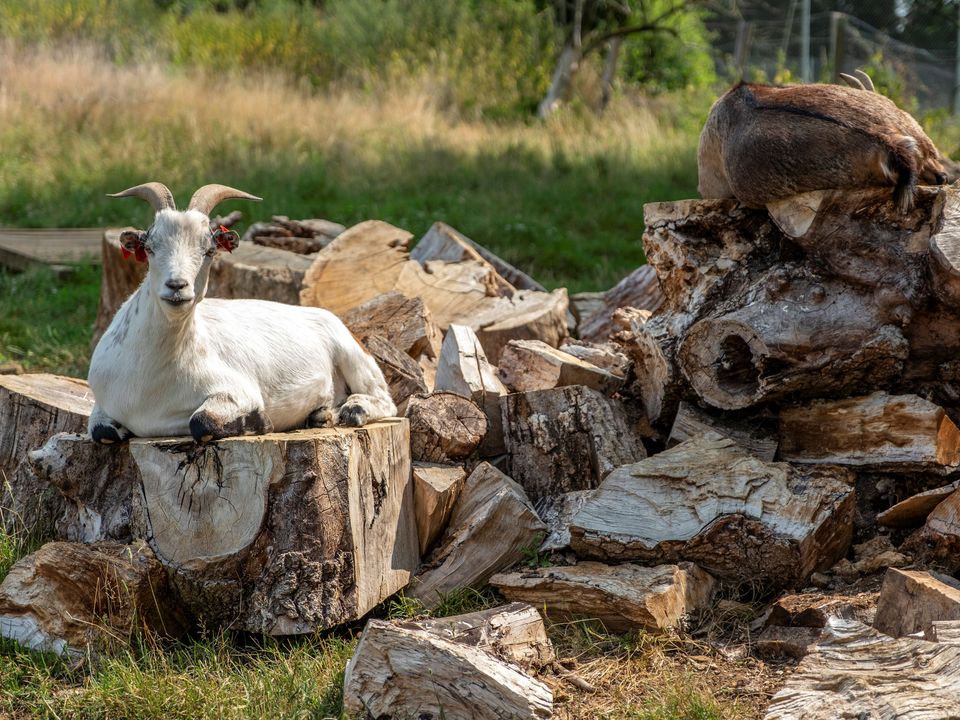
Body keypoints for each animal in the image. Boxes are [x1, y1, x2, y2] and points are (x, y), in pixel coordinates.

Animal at [86, 183, 394, 444]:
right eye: (149, 248)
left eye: (209, 250)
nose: (177, 286)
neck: (150, 376)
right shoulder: (101, 405)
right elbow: (102, 432)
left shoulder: (237, 390)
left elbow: (202, 422)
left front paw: (261, 422)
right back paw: (321, 414)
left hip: (351, 352)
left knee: (384, 398)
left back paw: (353, 409)